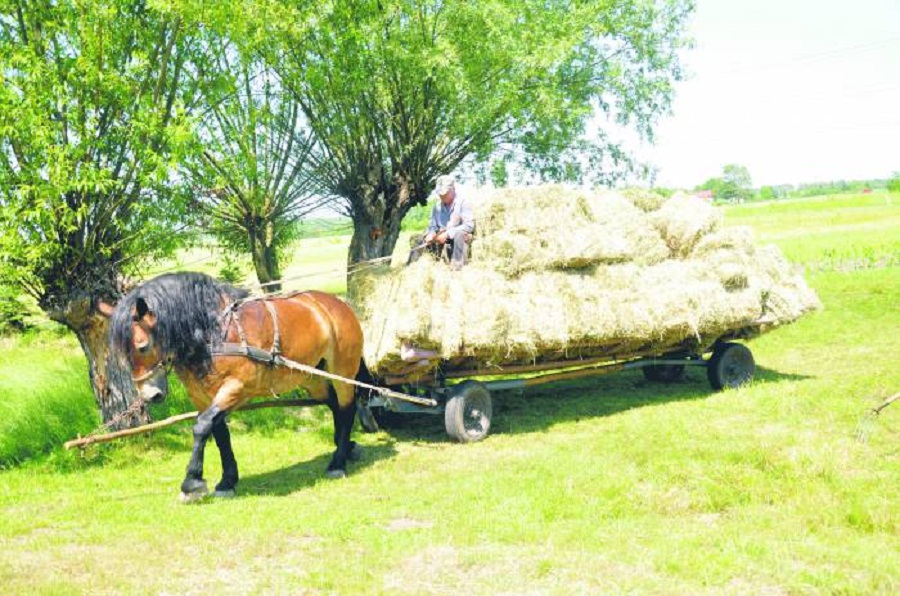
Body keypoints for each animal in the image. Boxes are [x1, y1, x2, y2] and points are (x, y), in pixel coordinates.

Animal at [106, 272, 370, 500]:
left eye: (142, 346)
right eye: (122, 355)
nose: (151, 395)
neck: (213, 334)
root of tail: (337, 304)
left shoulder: (237, 388)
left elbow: (202, 427)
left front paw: (192, 483)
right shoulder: (202, 397)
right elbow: (219, 433)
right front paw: (227, 481)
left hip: (342, 372)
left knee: (347, 408)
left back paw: (338, 462)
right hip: (311, 377)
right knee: (334, 404)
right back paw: (346, 447)